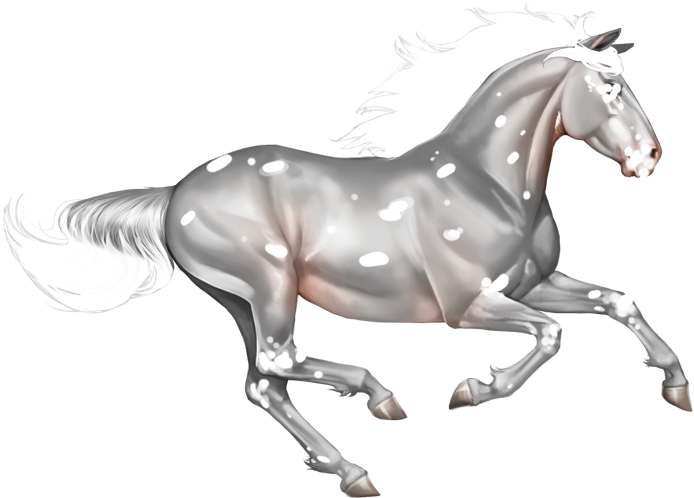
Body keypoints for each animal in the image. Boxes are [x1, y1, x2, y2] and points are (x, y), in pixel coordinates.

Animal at [4, 26, 690, 498]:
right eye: (609, 91)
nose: (650, 157)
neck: (487, 183)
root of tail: (175, 194)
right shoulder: (472, 305)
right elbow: (551, 334)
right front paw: (471, 390)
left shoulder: (534, 284)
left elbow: (616, 301)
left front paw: (676, 388)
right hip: (270, 290)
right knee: (277, 363)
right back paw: (376, 409)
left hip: (242, 302)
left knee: (263, 384)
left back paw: (352, 464)